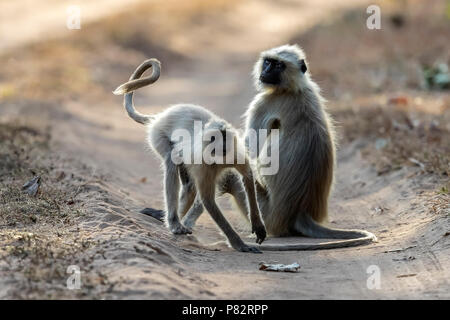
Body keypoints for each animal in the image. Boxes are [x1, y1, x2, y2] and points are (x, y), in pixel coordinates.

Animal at [114, 59, 266, 252]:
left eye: (223, 138)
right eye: (213, 139)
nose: (220, 147)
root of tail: (160, 117)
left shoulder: (235, 151)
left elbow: (247, 175)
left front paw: (258, 225)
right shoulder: (204, 164)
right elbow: (208, 200)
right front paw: (238, 244)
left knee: (189, 185)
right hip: (158, 135)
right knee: (171, 163)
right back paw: (173, 222)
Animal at [182, 44, 376, 250]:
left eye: (277, 65)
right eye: (268, 62)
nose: (266, 71)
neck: (292, 89)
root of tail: (300, 212)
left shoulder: (263, 103)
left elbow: (246, 154)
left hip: (267, 215)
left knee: (231, 178)